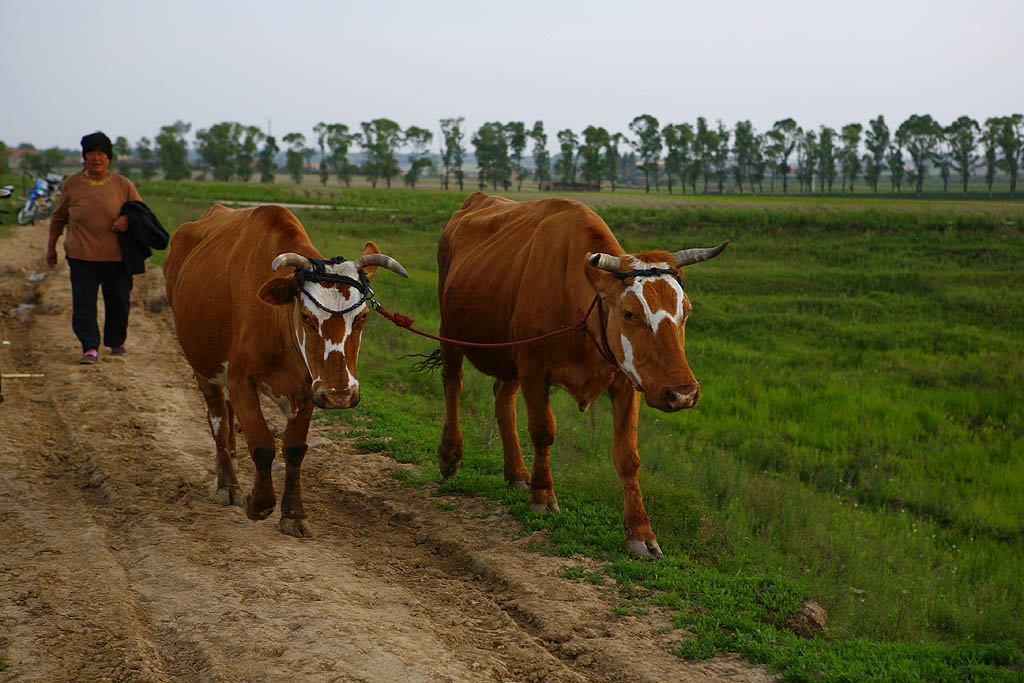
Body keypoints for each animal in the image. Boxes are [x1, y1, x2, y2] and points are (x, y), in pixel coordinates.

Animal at [161, 205, 405, 536]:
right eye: (306, 316)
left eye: (362, 316)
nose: (340, 394)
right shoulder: (241, 380)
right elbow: (263, 444)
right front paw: (259, 502)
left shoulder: (309, 387)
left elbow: (295, 448)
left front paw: (293, 513)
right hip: (202, 363)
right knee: (218, 420)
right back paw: (228, 483)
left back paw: (233, 453)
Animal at [436, 193, 724, 561]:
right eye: (629, 313)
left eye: (685, 311)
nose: (683, 394)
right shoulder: (533, 368)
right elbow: (543, 432)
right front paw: (542, 496)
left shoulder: (626, 381)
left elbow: (627, 455)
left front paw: (640, 533)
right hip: (450, 331)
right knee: (453, 383)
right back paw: (450, 455)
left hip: (507, 353)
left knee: (503, 398)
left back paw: (517, 473)